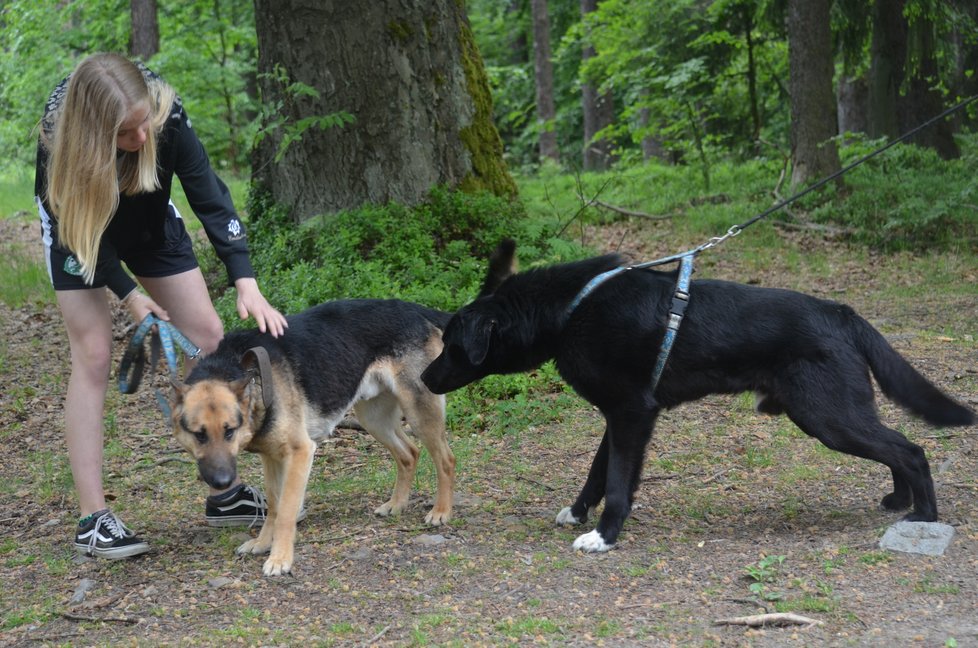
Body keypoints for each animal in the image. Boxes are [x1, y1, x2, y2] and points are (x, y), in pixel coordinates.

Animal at [171, 298, 454, 576]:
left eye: (229, 430)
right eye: (199, 435)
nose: (222, 482)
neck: (249, 375)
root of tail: (414, 308)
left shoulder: (299, 453)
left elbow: (286, 511)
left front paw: (280, 558)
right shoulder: (271, 457)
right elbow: (273, 506)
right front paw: (263, 543)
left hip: (419, 413)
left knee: (446, 460)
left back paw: (441, 511)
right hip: (374, 419)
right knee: (409, 454)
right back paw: (396, 504)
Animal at [418, 240, 968, 556]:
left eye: (452, 344)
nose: (422, 378)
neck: (571, 310)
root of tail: (841, 311)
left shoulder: (633, 413)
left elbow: (617, 482)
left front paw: (605, 535)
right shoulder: (619, 416)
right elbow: (598, 472)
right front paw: (578, 513)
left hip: (828, 416)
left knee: (909, 449)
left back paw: (923, 515)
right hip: (834, 415)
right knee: (896, 447)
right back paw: (900, 500)